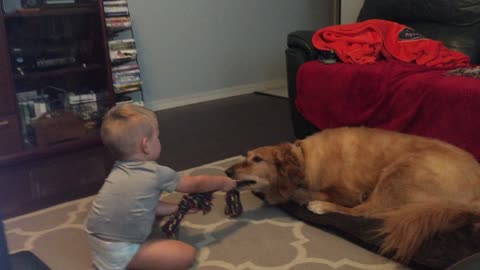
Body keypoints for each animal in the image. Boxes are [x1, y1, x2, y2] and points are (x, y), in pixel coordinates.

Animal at [225, 127, 480, 262]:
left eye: (257, 159)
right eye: (246, 156)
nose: (226, 171)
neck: (303, 158)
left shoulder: (347, 193)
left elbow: (306, 193)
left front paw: (301, 196)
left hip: (399, 171)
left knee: (369, 212)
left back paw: (320, 207)